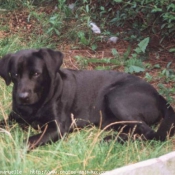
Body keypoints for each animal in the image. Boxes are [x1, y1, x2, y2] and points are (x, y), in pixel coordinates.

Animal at [0, 47, 174, 149]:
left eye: (36, 73)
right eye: (15, 75)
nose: (22, 97)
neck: (34, 107)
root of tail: (158, 95)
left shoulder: (58, 127)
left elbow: (28, 141)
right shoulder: (14, 117)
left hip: (116, 97)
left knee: (151, 133)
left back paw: (112, 140)